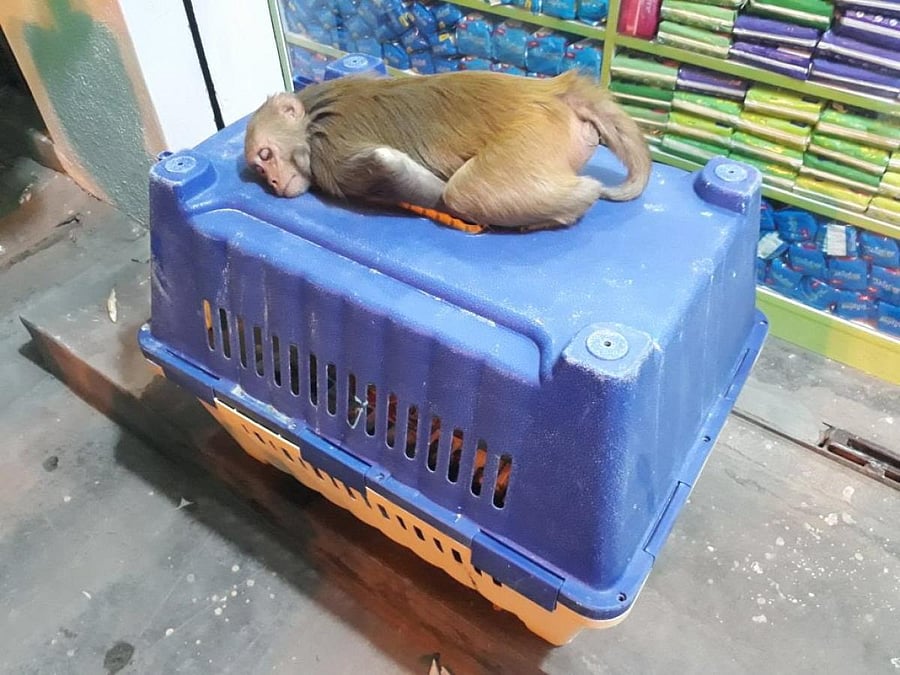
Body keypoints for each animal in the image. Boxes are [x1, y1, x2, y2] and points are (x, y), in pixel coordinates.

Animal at [244, 70, 652, 231]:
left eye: (265, 156)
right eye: (261, 170)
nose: (275, 182)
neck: (312, 120)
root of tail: (550, 91)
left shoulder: (329, 155)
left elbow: (399, 173)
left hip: (530, 138)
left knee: (464, 192)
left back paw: (580, 199)